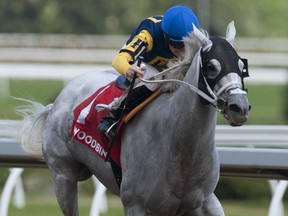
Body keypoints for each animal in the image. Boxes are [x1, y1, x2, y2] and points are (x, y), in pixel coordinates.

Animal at [2, 22, 250, 215]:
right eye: (211, 66)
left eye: (242, 65)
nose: (239, 107)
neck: (180, 150)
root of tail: (57, 101)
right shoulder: (136, 205)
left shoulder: (205, 201)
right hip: (63, 176)